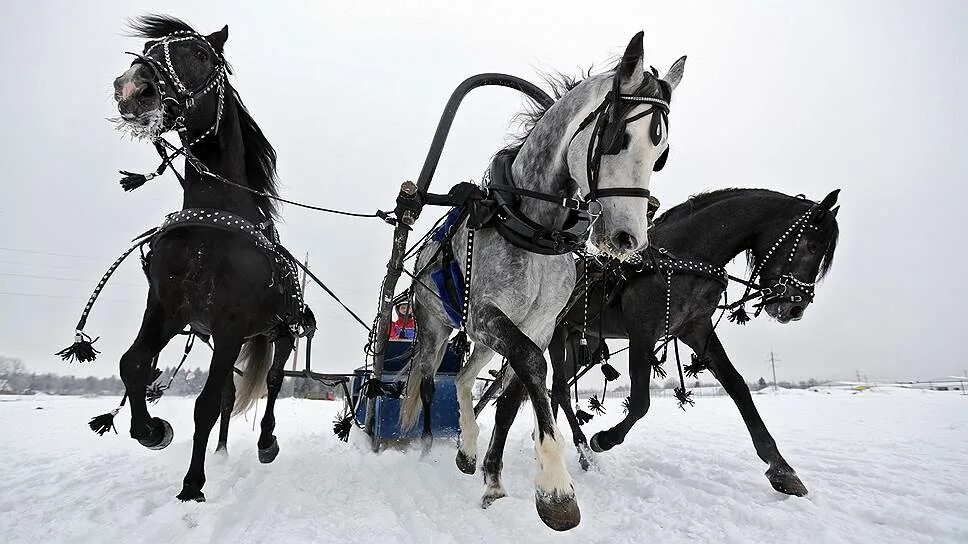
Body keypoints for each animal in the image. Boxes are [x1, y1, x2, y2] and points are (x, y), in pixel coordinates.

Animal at [110, 15, 308, 502]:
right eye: (149, 49)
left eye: (200, 54)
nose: (133, 88)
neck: (211, 225)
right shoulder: (168, 311)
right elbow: (132, 365)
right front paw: (152, 430)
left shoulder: (232, 324)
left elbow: (203, 404)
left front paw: (192, 486)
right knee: (228, 396)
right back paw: (220, 450)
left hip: (280, 332)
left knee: (273, 381)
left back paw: (266, 442)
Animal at [400, 31, 688, 528]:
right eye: (617, 137)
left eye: (661, 154)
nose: (629, 238)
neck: (533, 223)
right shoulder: (485, 315)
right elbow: (534, 367)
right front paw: (556, 488)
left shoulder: (537, 325)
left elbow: (512, 397)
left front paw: (494, 480)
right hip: (437, 325)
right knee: (430, 379)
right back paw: (426, 448)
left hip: (485, 337)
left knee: (465, 378)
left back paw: (466, 449)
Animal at [536, 189, 840, 496]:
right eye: (811, 246)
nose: (795, 308)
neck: (682, 256)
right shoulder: (642, 330)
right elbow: (640, 401)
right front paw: (605, 438)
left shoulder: (697, 328)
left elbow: (737, 386)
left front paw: (780, 468)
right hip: (557, 333)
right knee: (560, 389)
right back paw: (584, 450)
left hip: (583, 343)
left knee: (555, 390)